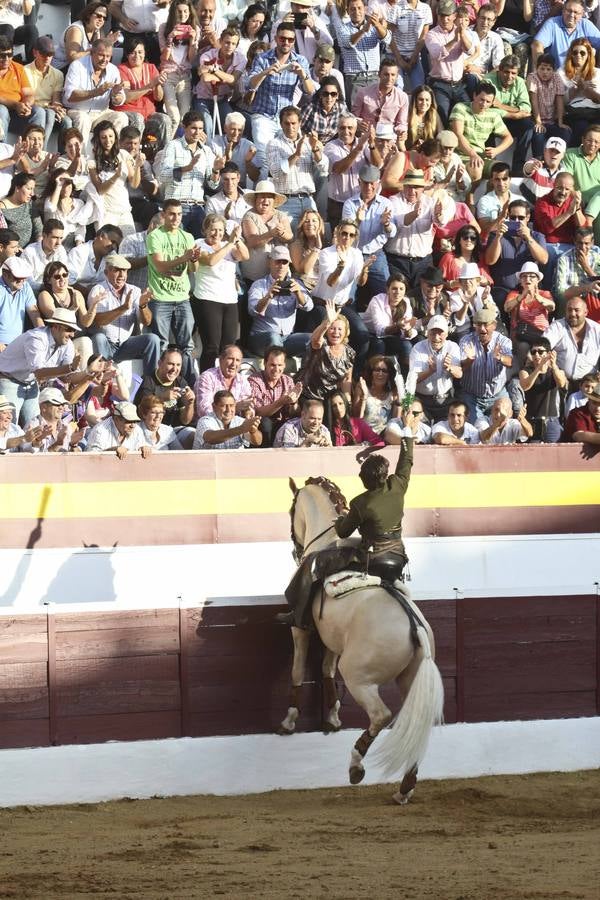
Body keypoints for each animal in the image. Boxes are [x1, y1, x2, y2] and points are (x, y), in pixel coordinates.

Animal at [282, 474, 446, 804]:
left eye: (291, 511)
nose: (294, 548)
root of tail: (415, 626)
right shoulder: (333, 639)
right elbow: (326, 670)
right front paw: (332, 718)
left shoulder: (301, 629)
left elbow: (297, 670)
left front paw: (290, 721)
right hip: (410, 679)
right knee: (413, 720)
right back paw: (404, 788)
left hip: (359, 678)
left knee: (381, 715)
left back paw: (356, 765)